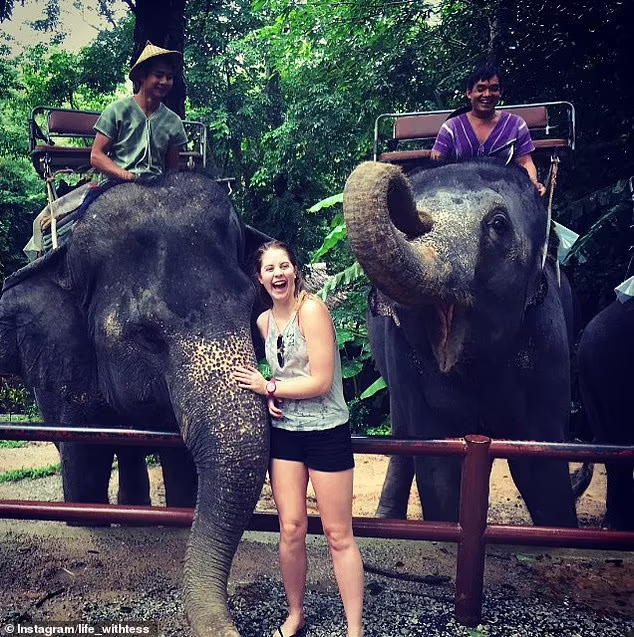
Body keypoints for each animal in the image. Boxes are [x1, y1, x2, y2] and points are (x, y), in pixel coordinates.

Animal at [0, 172, 270, 637]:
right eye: (146, 334)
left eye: (253, 306)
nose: (230, 625)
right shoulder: (66, 366)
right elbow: (86, 460)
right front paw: (87, 522)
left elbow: (181, 466)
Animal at [343, 159, 578, 528]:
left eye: (498, 224)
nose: (412, 214)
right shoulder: (405, 359)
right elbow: (437, 465)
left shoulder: (548, 339)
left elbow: (540, 465)